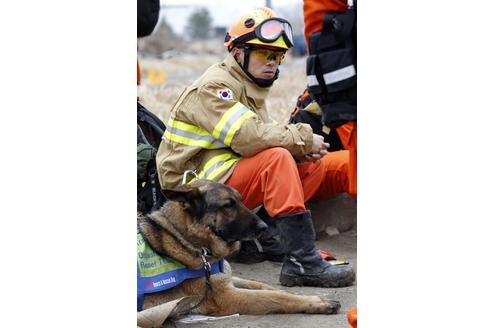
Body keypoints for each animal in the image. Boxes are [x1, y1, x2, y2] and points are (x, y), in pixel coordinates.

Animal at [139, 179, 340, 316]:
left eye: (241, 201)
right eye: (228, 205)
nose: (264, 227)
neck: (190, 241)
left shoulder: (227, 280)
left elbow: (265, 287)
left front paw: (299, 293)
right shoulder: (226, 297)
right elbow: (277, 298)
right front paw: (317, 303)